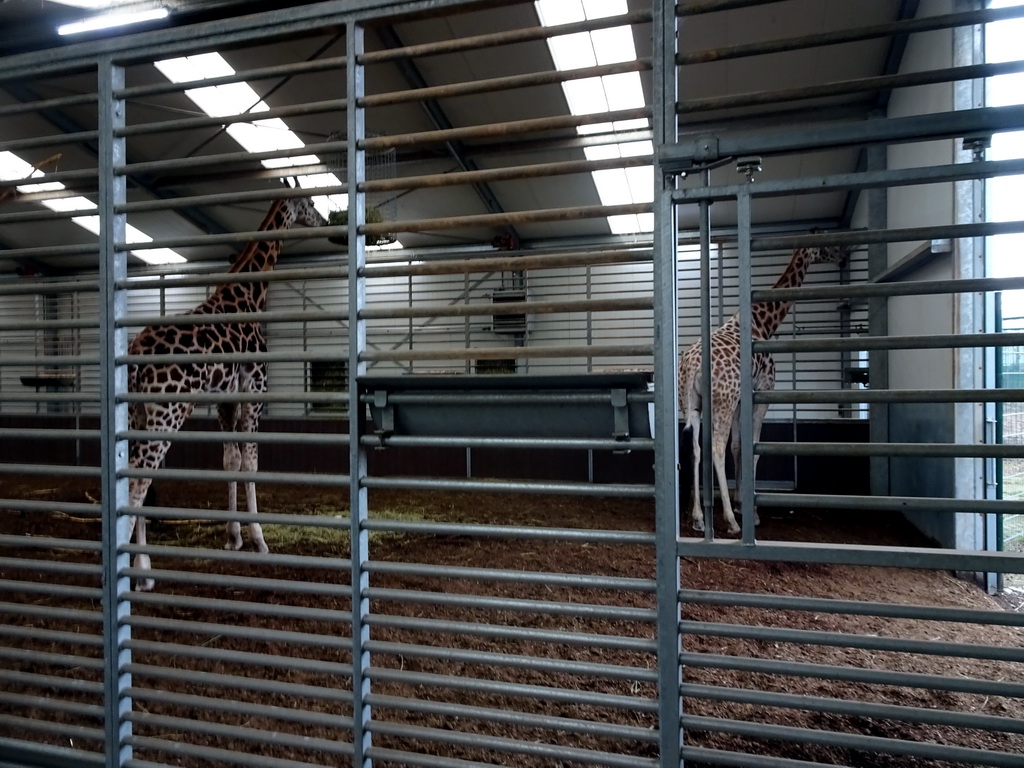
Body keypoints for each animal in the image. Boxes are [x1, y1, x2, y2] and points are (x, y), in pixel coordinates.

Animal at [125, 195, 323, 593]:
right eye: (309, 203)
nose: (323, 220)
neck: (251, 294)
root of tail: (136, 355)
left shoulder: (224, 400)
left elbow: (229, 461)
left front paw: (234, 538)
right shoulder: (254, 392)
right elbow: (251, 463)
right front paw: (260, 541)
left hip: (138, 414)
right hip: (166, 413)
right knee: (140, 479)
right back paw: (142, 572)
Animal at [679, 244, 847, 536]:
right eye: (826, 246)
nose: (843, 256)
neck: (763, 322)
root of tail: (690, 367)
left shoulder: (739, 401)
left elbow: (738, 447)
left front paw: (739, 503)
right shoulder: (762, 392)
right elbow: (754, 448)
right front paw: (749, 511)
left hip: (692, 404)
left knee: (696, 448)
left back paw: (698, 517)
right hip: (722, 401)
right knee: (715, 448)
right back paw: (731, 522)